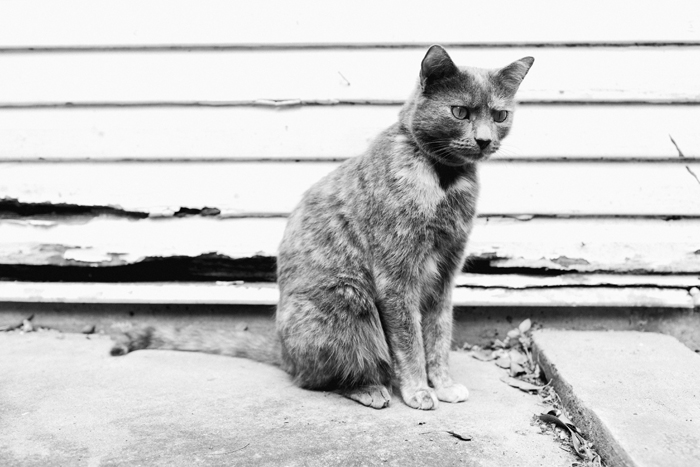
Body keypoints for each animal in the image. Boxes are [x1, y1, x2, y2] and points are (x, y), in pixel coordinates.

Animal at [112, 45, 532, 412]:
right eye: (459, 111)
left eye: (499, 116)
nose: (483, 140)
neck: (443, 183)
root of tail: (283, 352)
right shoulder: (396, 279)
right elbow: (409, 342)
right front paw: (418, 390)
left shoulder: (444, 274)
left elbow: (439, 336)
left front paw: (442, 385)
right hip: (349, 300)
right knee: (320, 378)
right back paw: (371, 389)